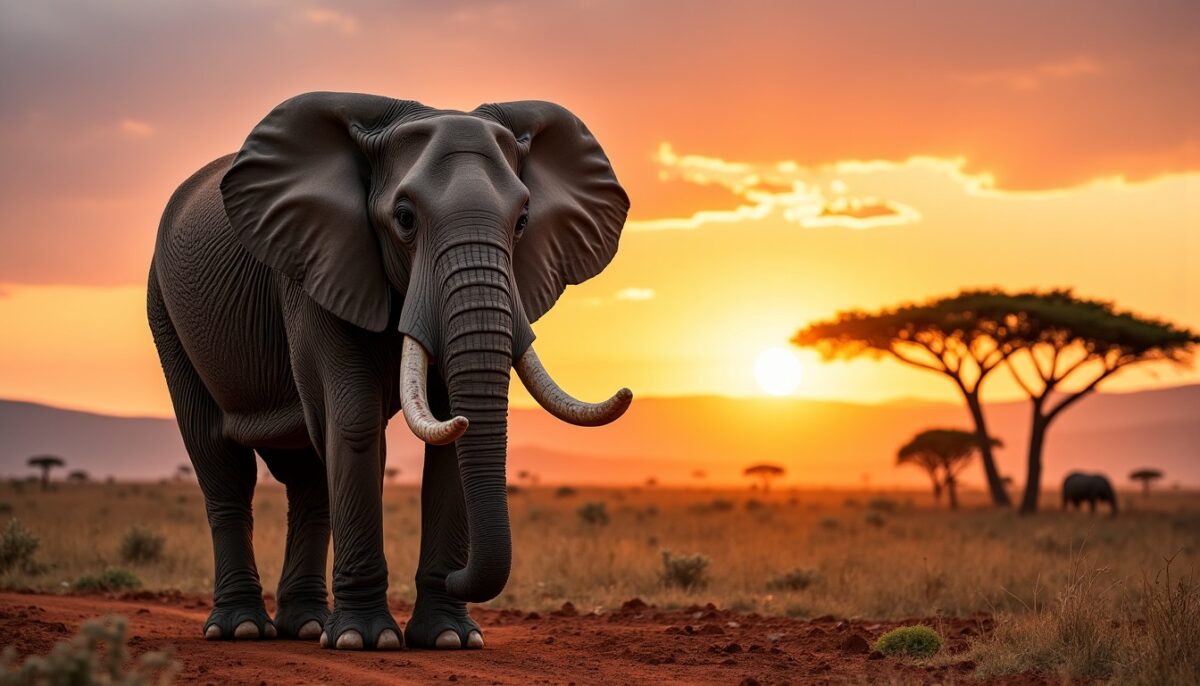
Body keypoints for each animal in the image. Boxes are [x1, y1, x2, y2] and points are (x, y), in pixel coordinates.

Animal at [147, 92, 632, 651]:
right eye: (404, 219)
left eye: (522, 222)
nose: (457, 576)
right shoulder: (315, 265)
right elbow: (354, 420)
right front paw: (363, 640)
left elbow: (445, 436)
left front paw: (449, 639)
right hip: (165, 311)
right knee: (221, 461)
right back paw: (242, 628)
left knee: (308, 476)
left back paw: (305, 626)